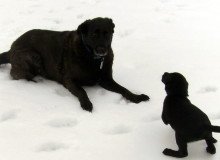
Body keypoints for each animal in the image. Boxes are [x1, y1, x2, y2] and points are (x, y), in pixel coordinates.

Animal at [0, 17, 150, 111]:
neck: (92, 58)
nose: (102, 50)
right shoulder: (69, 80)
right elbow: (82, 91)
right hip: (33, 56)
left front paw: (136, 97)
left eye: (107, 34)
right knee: (16, 74)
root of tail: (11, 48)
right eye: (94, 35)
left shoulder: (106, 80)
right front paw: (86, 103)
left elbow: (124, 89)